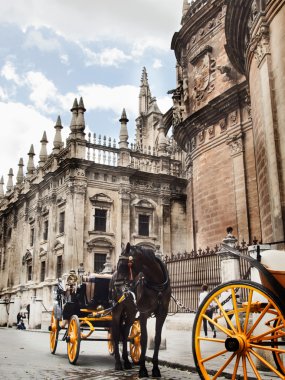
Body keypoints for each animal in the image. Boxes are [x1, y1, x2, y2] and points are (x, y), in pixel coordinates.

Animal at [117, 243, 171, 378]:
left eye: (123, 264)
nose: (119, 288)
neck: (156, 284)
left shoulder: (162, 313)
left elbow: (157, 338)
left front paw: (155, 369)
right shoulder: (143, 313)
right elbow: (144, 339)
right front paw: (142, 369)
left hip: (131, 312)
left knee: (125, 331)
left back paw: (126, 360)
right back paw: (119, 361)